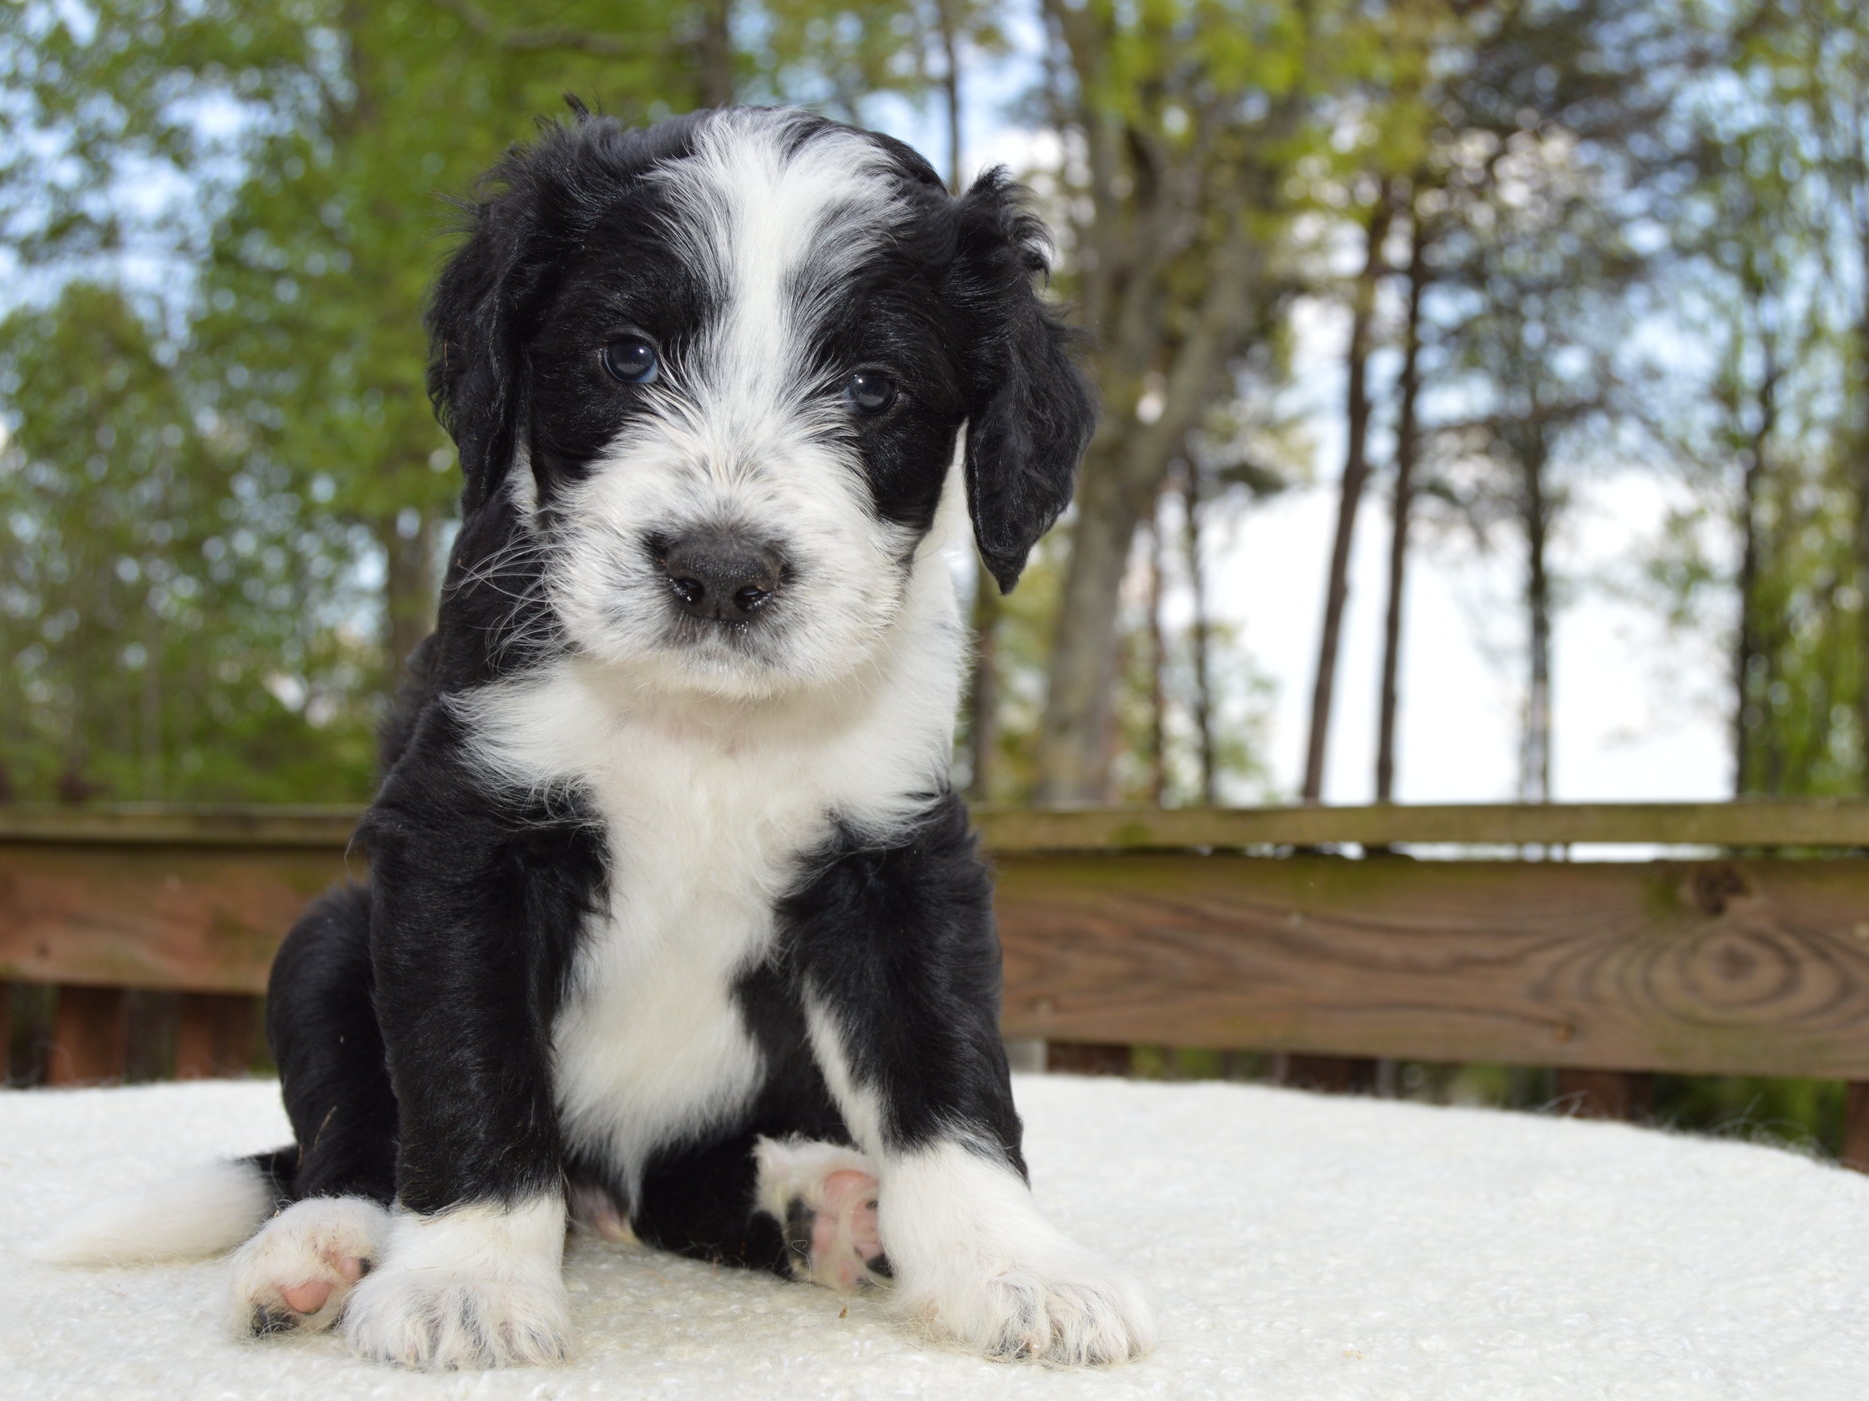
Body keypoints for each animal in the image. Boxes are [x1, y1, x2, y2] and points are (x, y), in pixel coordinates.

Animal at [36, 106, 1151, 1374]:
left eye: (872, 388)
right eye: (628, 357)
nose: (721, 570)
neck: (703, 726)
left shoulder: (897, 857)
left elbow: (947, 1079)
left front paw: (1016, 1269)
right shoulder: (463, 845)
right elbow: (469, 1075)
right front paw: (465, 1284)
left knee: (682, 1184)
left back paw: (818, 1206)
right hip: (324, 944)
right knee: (350, 1135)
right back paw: (317, 1251)